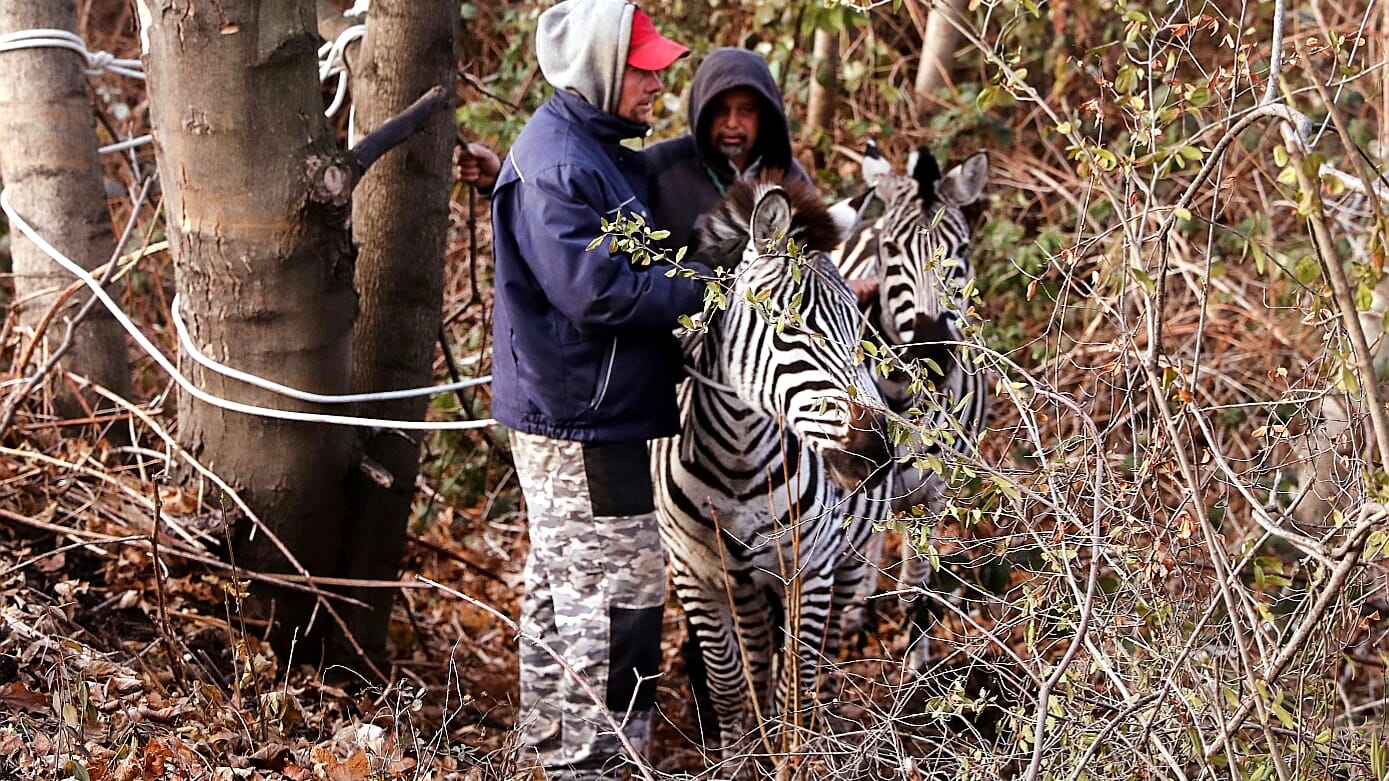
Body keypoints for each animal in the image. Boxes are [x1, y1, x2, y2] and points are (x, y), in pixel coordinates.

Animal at [652, 168, 900, 750]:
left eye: (859, 332)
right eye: (789, 328)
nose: (875, 453)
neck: (738, 463)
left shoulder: (811, 569)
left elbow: (796, 690)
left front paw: (795, 756)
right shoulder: (696, 574)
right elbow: (728, 689)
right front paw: (739, 758)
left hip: (846, 558)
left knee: (824, 660)